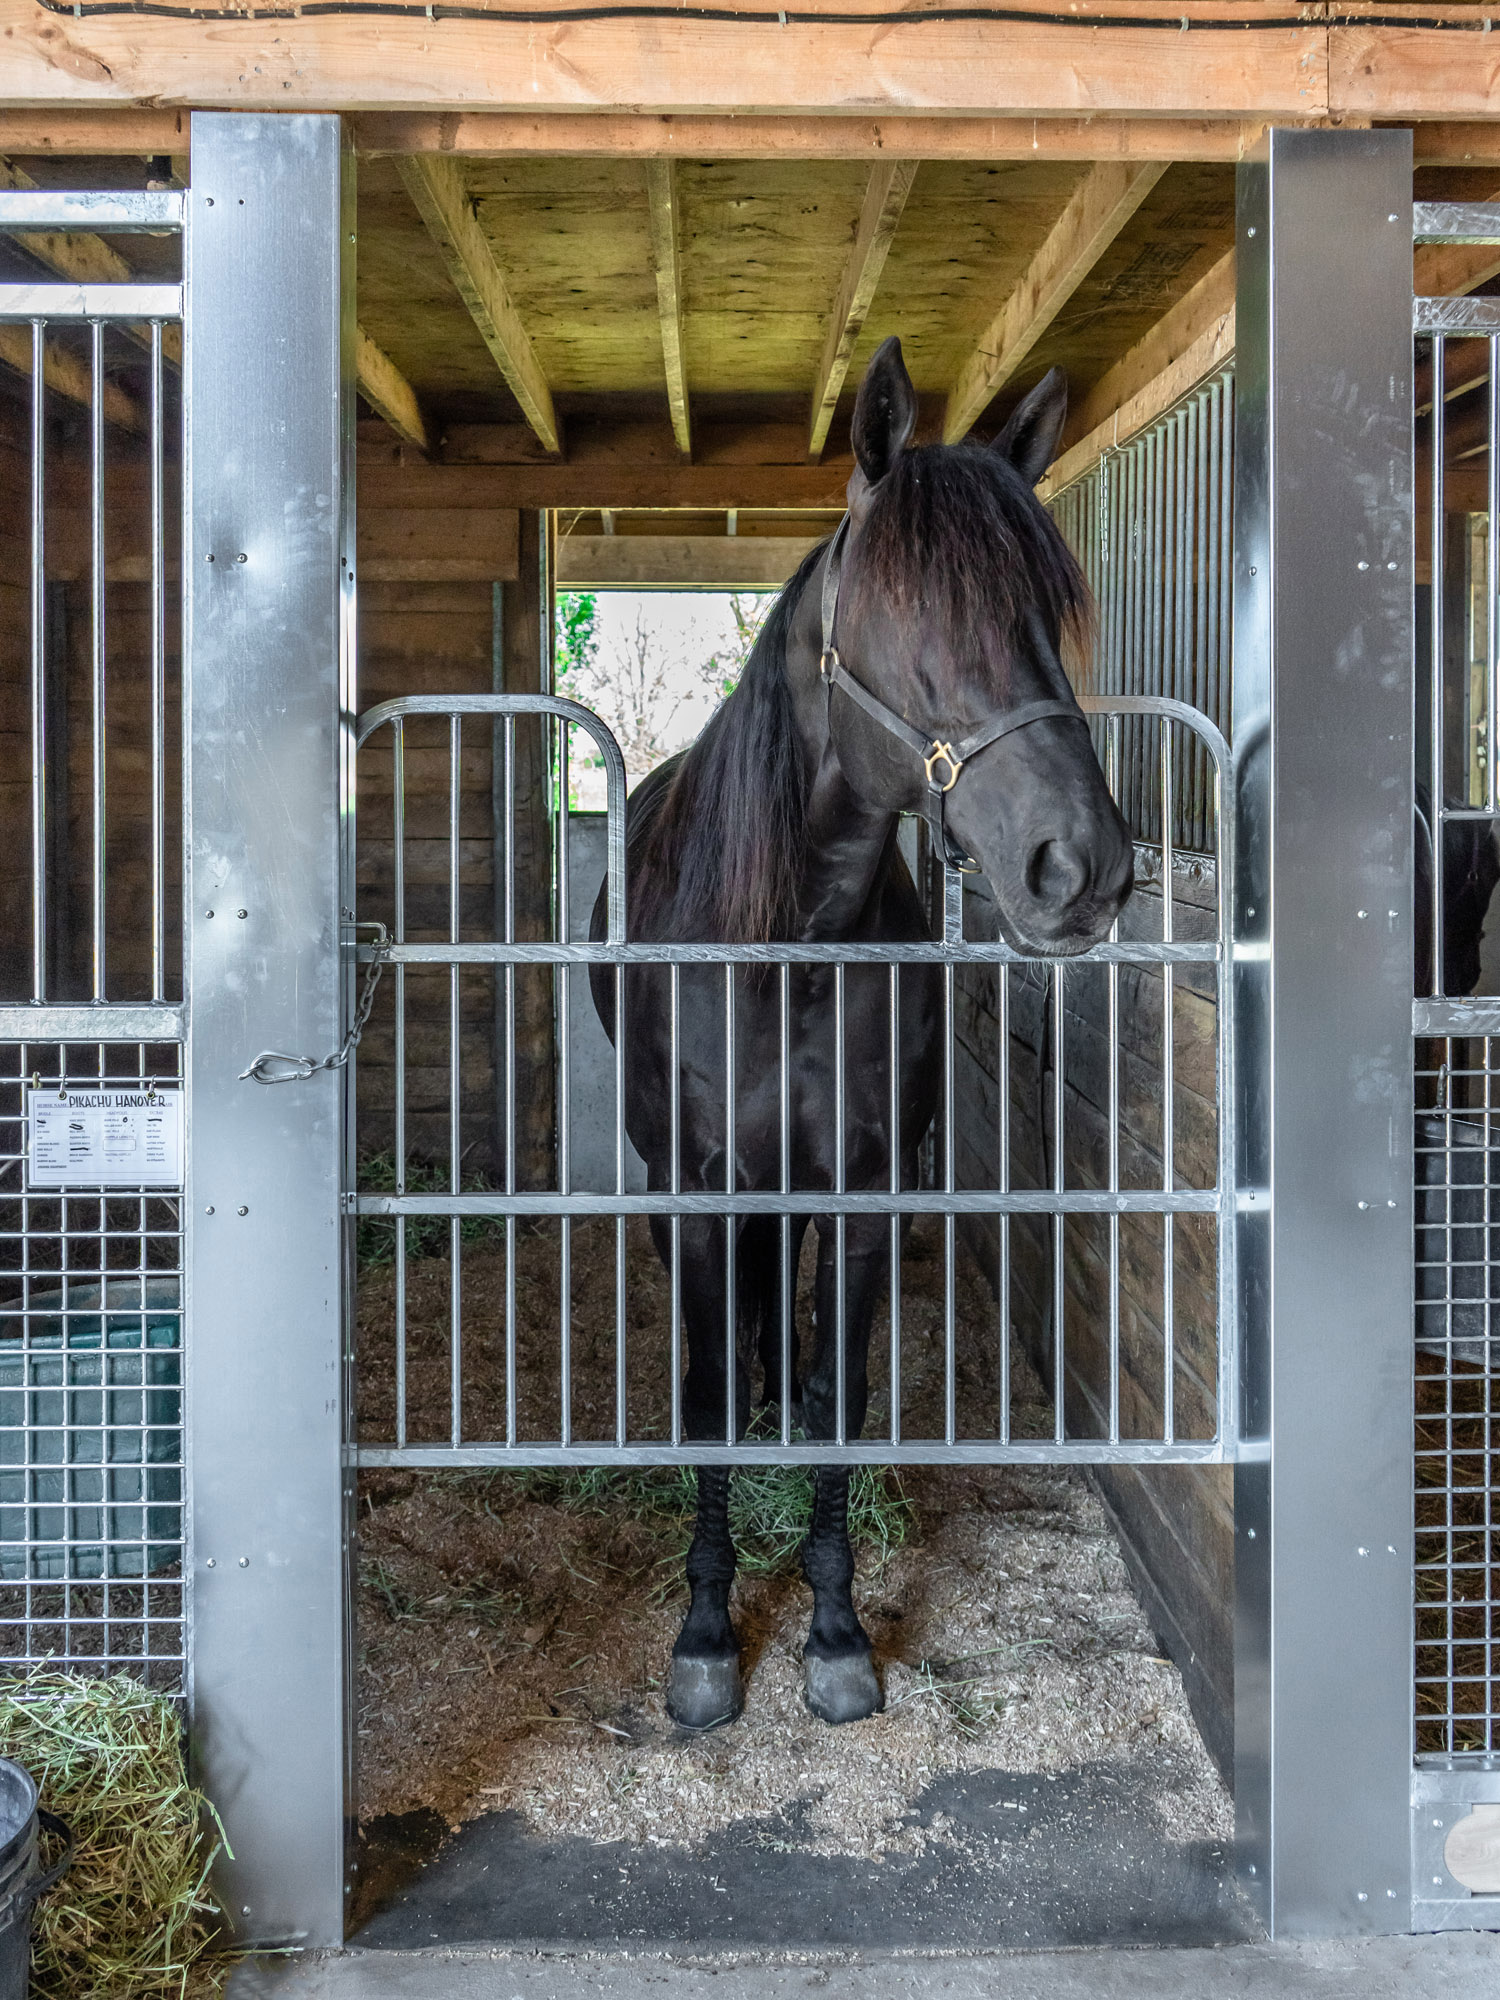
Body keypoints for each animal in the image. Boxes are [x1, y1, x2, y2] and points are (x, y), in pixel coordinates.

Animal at [592, 336, 1136, 1728]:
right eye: (906, 611)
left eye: (1047, 612)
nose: (1086, 865)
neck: (791, 940)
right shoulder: (700, 1189)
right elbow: (707, 1403)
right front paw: (705, 1631)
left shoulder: (867, 1188)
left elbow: (843, 1399)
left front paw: (832, 1630)